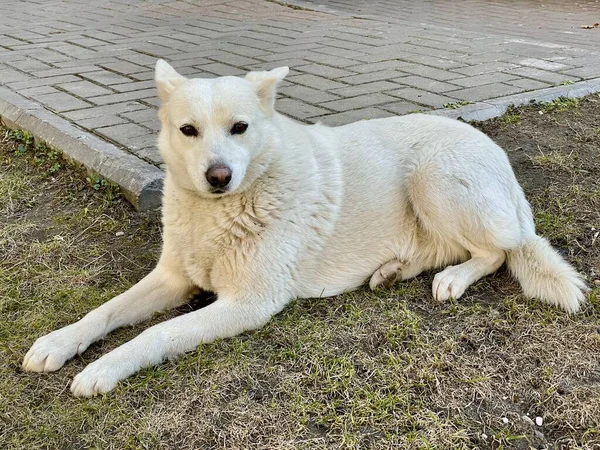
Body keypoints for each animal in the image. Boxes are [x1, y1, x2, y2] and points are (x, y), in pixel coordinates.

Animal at [22, 59, 584, 398]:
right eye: (188, 130)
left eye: (240, 128)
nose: (218, 176)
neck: (221, 211)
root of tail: (499, 157)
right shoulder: (172, 278)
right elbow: (104, 311)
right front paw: (59, 343)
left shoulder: (247, 304)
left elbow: (155, 332)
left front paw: (102, 369)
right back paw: (393, 271)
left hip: (434, 178)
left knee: (498, 251)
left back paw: (452, 280)